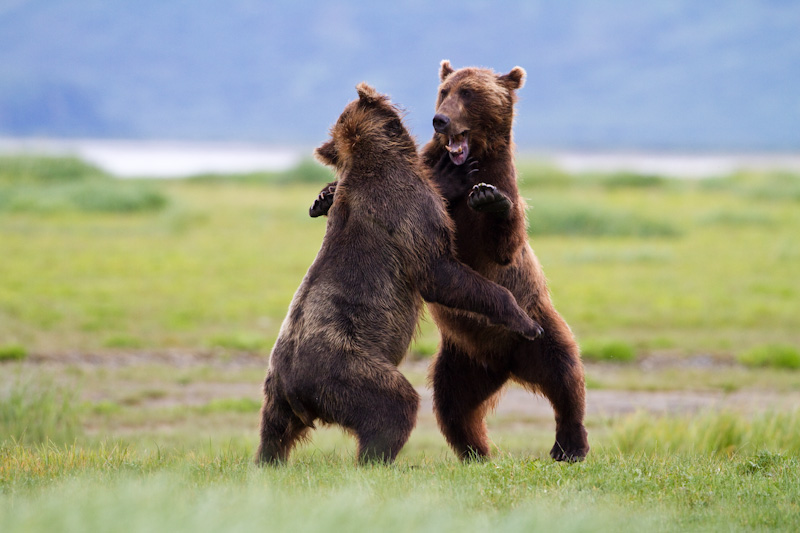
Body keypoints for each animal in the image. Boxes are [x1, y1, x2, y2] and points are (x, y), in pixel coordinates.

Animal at [260, 83, 548, 466]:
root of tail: (295, 389)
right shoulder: (407, 212)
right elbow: (439, 271)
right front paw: (527, 322)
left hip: (275, 392)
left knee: (273, 434)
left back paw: (267, 461)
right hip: (346, 369)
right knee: (393, 406)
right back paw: (379, 459)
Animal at [422, 60, 592, 462]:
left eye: (469, 93)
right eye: (444, 91)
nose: (440, 120)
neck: (473, 160)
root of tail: (504, 365)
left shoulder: (502, 182)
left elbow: (503, 245)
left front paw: (491, 200)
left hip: (539, 328)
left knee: (566, 373)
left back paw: (570, 446)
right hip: (461, 355)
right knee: (452, 404)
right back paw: (476, 450)